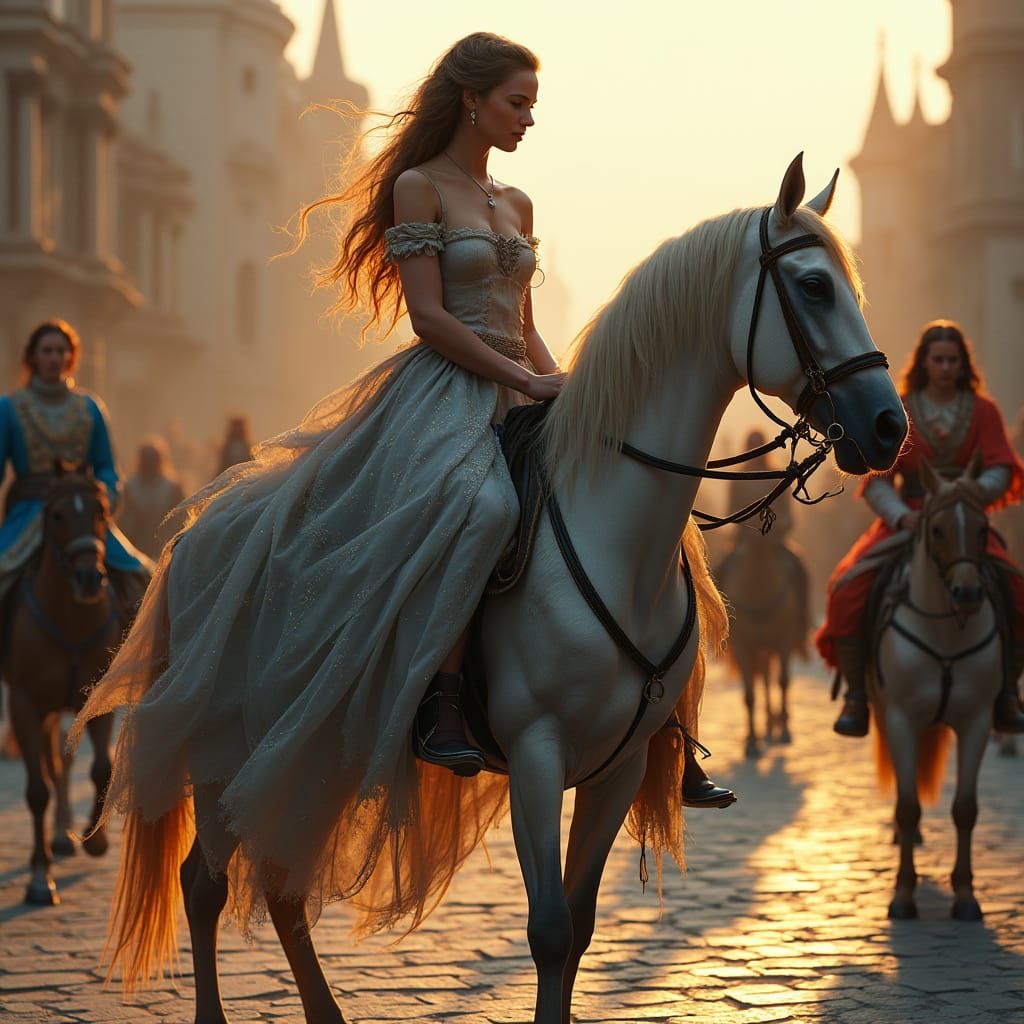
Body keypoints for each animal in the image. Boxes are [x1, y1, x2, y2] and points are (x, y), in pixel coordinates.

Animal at [4, 464, 121, 904]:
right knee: (52, 765)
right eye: (55, 515)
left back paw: (66, 833)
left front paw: (97, 839)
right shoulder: (24, 703)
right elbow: (37, 789)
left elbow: (102, 766)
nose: (89, 578)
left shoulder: (100, 696)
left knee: (63, 762)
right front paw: (40, 877)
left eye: (101, 510)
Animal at [718, 528, 809, 756]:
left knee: (770, 678)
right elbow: (749, 694)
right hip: (759, 649)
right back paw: (767, 725)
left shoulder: (784, 641)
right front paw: (751, 741)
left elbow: (783, 681)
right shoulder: (742, 647)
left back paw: (775, 723)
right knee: (765, 677)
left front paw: (785, 730)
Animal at [869, 455, 1003, 922]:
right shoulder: (900, 720)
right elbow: (908, 807)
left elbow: (965, 809)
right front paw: (902, 894)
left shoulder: (977, 721)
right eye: (938, 530)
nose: (967, 593)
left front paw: (966, 895)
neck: (946, 631)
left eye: (982, 529)